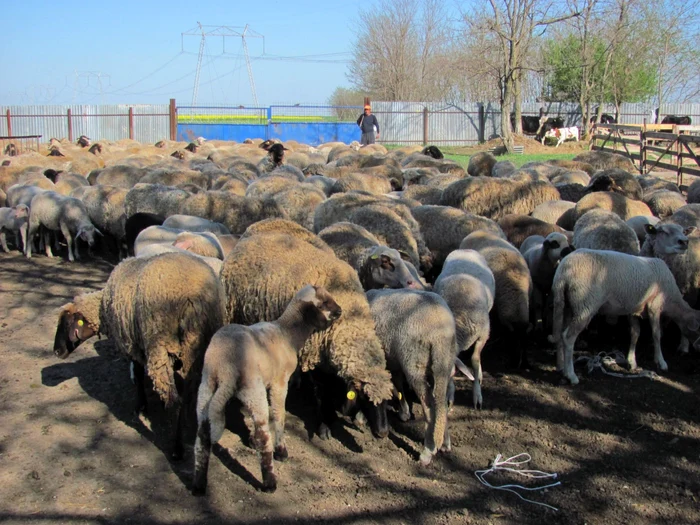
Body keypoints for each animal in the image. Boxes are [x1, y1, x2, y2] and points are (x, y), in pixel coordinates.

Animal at [53, 252, 226, 456]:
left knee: (175, 401)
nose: (56, 351)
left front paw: (141, 407)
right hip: (196, 350)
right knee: (190, 395)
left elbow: (138, 374)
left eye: (66, 324)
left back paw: (176, 449)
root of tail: (194, 299)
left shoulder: (132, 344)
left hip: (159, 345)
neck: (103, 307)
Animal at [191, 282, 344, 492]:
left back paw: (199, 484)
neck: (288, 333)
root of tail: (225, 367)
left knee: (202, 434)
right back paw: (270, 483)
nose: (340, 310)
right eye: (324, 303)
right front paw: (281, 451)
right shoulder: (279, 382)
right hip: (253, 390)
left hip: (206, 386)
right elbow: (279, 415)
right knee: (263, 435)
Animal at [366, 288, 460, 464]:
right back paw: (444, 443)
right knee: (441, 402)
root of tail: (441, 334)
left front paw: (403, 412)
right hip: (443, 361)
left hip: (414, 362)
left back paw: (427, 452)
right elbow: (398, 383)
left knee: (428, 405)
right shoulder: (394, 358)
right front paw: (405, 411)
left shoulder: (390, 359)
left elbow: (395, 385)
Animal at [552, 248, 700, 382]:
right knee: (568, 337)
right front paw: (661, 361)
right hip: (585, 304)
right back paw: (571, 375)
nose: (696, 349)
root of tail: (563, 271)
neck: (671, 299)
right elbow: (656, 335)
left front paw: (632, 362)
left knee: (560, 334)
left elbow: (635, 334)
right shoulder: (654, 305)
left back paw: (561, 367)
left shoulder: (633, 309)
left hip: (568, 305)